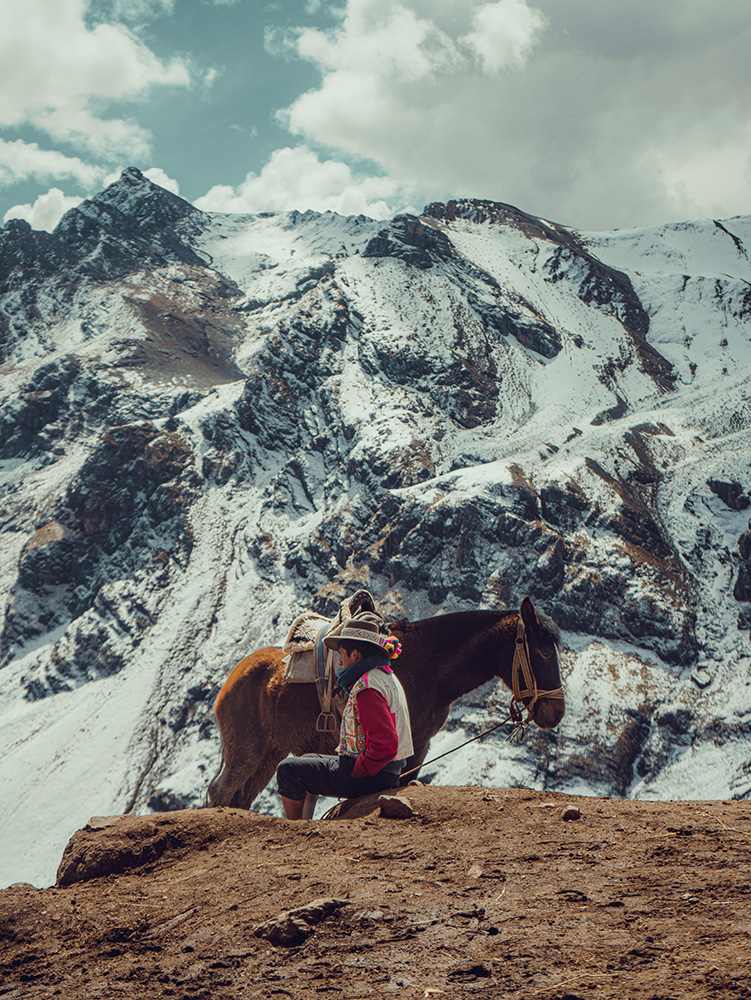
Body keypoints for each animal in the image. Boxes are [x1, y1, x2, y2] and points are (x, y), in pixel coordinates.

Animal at [206, 596, 564, 808]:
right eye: (545, 650)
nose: (555, 712)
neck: (428, 665)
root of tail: (232, 678)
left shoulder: (419, 746)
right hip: (247, 749)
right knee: (222, 791)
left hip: (270, 754)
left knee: (239, 796)